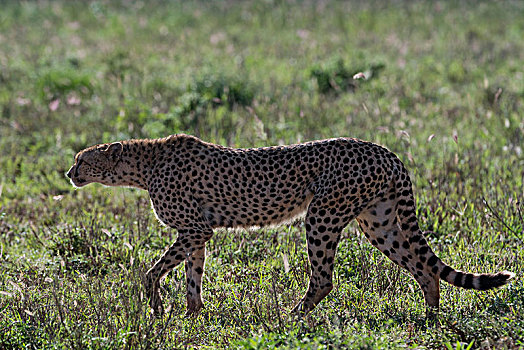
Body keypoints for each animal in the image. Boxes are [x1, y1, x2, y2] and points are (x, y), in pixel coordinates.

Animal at [67, 134, 512, 318]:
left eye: (82, 160)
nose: (69, 173)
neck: (143, 165)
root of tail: (385, 150)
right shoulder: (198, 233)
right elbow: (193, 276)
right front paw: (193, 317)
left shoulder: (194, 229)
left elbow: (152, 271)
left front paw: (158, 307)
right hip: (378, 223)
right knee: (423, 267)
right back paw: (429, 319)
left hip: (322, 214)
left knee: (325, 280)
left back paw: (293, 316)